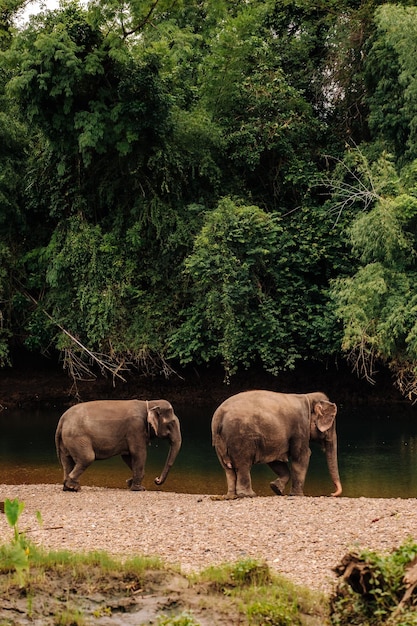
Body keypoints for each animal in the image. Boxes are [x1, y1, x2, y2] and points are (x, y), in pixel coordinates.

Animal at [211, 390, 342, 498]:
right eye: (332, 423)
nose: (332, 493)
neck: (309, 397)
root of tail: (219, 415)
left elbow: (275, 460)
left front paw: (275, 488)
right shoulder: (300, 426)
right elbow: (301, 456)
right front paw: (297, 495)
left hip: (218, 442)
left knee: (228, 469)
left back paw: (231, 496)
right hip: (241, 439)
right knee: (243, 465)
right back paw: (248, 495)